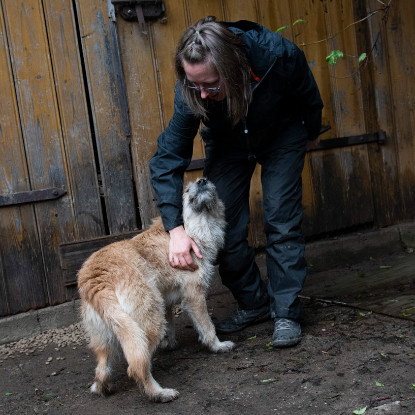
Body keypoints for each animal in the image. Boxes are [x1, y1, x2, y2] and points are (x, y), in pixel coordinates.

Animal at [78, 178, 234, 402]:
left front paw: (170, 344)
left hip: (109, 336)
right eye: (186, 190)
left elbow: (172, 325)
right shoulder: (194, 295)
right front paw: (217, 346)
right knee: (136, 367)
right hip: (150, 323)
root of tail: (97, 278)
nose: (202, 180)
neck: (191, 230)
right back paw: (159, 393)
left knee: (102, 369)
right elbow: (207, 327)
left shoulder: (165, 300)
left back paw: (101, 387)